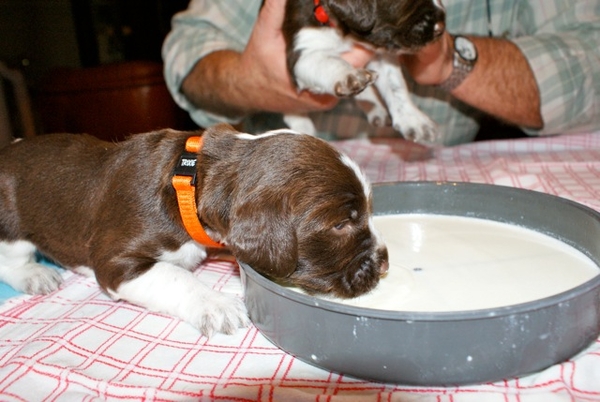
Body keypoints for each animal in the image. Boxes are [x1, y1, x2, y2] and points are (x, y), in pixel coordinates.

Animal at [0, 125, 390, 336]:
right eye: (340, 224)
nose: (384, 262)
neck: (190, 182)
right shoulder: (115, 258)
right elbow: (175, 277)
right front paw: (216, 304)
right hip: (11, 221)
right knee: (11, 258)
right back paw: (35, 275)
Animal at [282, 0, 446, 143]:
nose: (440, 29)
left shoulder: (380, 54)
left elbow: (395, 85)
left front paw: (414, 120)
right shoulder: (302, 54)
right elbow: (330, 62)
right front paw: (348, 75)